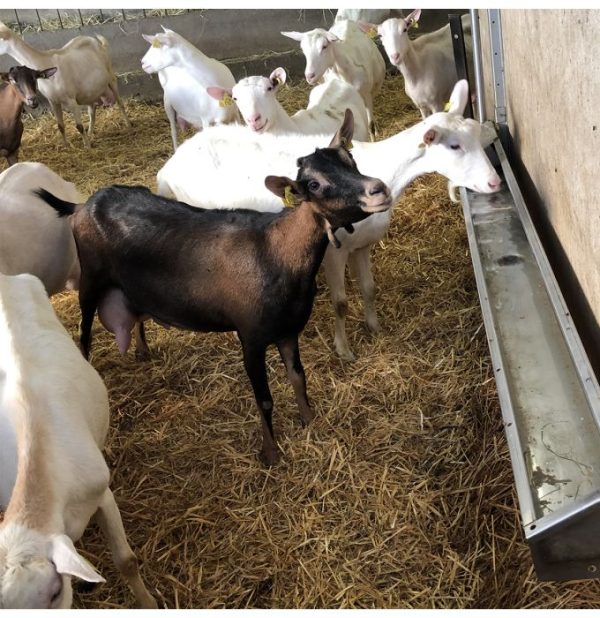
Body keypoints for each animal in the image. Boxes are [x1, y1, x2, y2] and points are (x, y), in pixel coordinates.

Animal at [0, 20, 130, 148]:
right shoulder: (53, 101)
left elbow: (79, 126)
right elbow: (60, 125)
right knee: (92, 111)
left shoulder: (71, 99)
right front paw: (66, 146)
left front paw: (87, 146)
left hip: (111, 76)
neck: (43, 61)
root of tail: (99, 43)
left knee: (120, 103)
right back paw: (90, 132)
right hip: (90, 92)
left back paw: (128, 125)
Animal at [159, 79, 502, 358]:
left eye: (475, 134)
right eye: (454, 146)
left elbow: (368, 288)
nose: (494, 182)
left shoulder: (362, 245)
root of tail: (168, 167)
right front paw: (344, 350)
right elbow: (341, 302)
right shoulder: (335, 251)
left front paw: (375, 327)